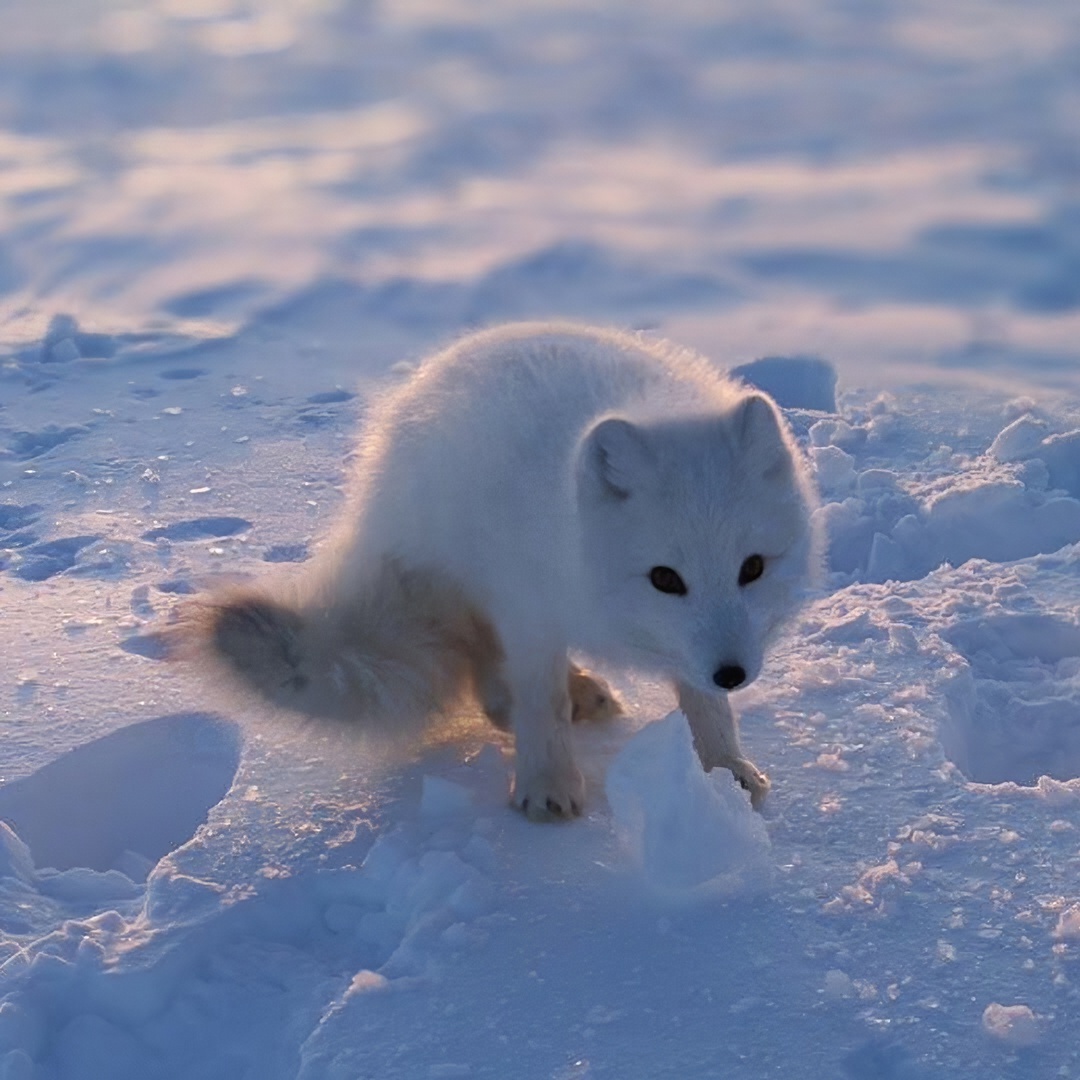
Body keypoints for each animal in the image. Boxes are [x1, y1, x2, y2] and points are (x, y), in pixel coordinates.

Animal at [194, 319, 816, 816]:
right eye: (666, 578)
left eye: (752, 568)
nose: (733, 673)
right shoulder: (526, 606)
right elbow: (540, 700)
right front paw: (546, 785)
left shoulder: (688, 650)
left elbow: (705, 707)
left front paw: (725, 773)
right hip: (464, 578)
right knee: (489, 677)